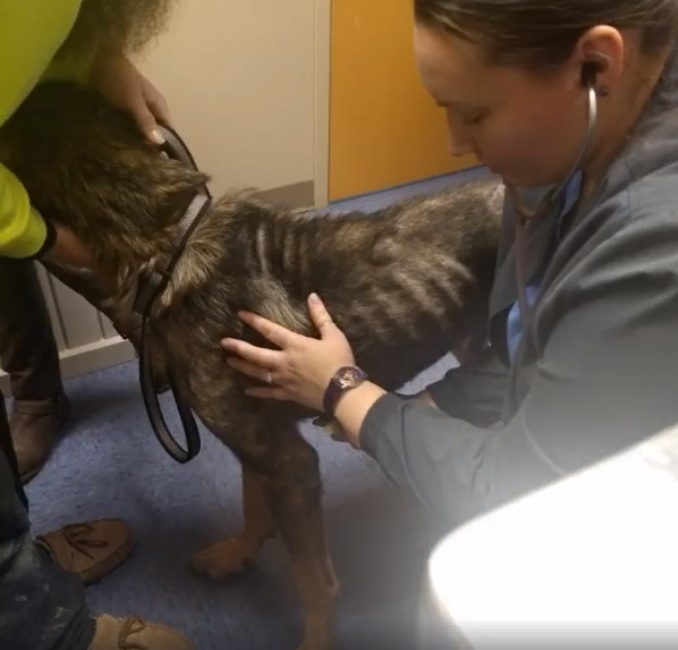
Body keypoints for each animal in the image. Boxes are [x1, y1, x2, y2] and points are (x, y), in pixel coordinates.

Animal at [0, 81, 503, 650]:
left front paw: (316, 639)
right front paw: (238, 553)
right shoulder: (259, 442)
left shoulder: (291, 464)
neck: (168, 249)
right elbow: (251, 503)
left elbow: (313, 579)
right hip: (469, 337)